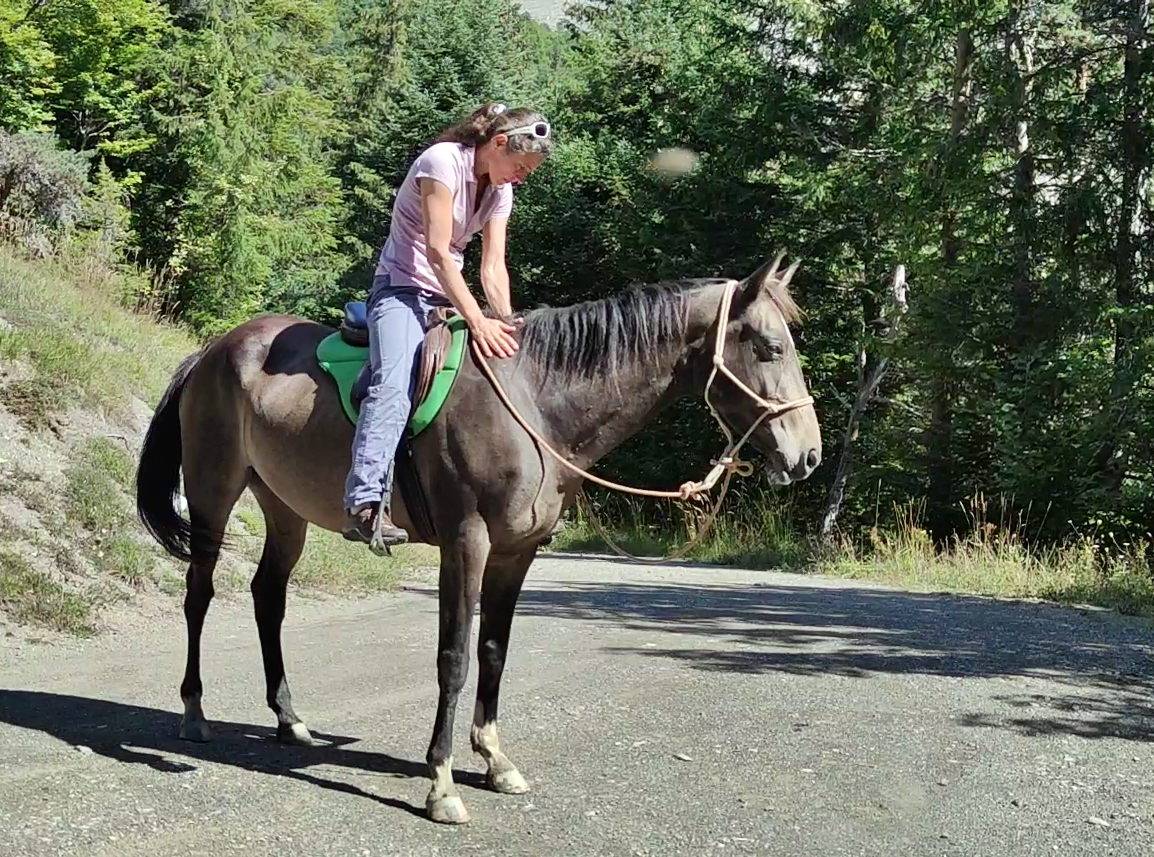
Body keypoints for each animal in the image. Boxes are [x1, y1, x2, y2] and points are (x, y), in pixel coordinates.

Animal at [134, 255, 822, 824]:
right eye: (768, 347)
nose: (808, 455)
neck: (535, 403)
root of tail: (214, 351)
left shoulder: (517, 553)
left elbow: (494, 651)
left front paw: (493, 759)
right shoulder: (466, 544)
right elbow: (455, 657)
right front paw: (441, 783)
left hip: (284, 507)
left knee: (267, 597)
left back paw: (290, 720)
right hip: (214, 493)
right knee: (198, 596)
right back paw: (193, 713)